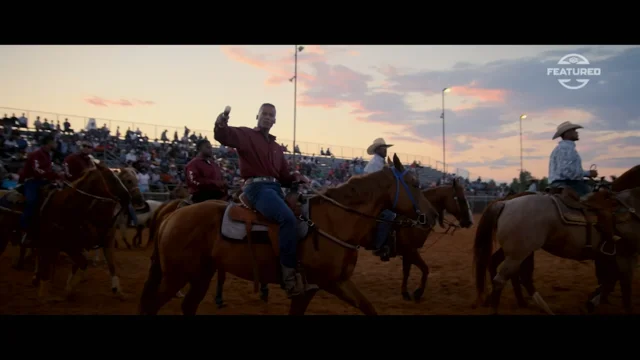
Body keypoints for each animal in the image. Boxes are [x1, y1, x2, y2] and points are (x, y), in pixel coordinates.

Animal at [139, 155, 440, 316]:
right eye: (415, 184)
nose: (432, 214)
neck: (334, 222)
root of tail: (173, 215)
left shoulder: (336, 282)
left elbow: (369, 308)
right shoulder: (311, 287)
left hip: (201, 274)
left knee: (188, 306)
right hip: (176, 275)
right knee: (151, 306)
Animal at [470, 166, 640, 316]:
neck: (631, 205)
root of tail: (505, 203)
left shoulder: (614, 257)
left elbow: (610, 281)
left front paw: (592, 303)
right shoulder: (626, 255)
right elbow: (624, 285)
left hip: (516, 252)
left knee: (506, 270)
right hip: (518, 254)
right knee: (506, 278)